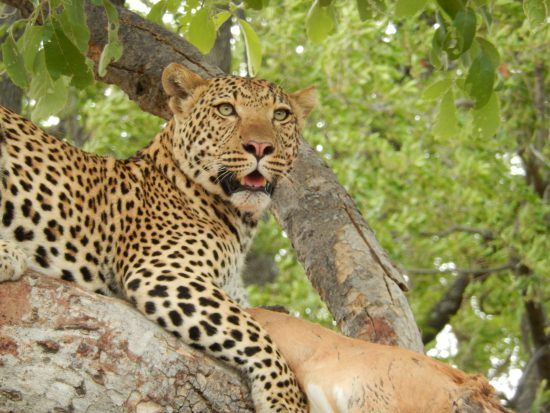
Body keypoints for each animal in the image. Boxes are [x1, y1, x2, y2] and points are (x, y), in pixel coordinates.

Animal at [0, 62, 314, 412]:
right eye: (226, 110)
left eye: (281, 115)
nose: (260, 147)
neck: (239, 223)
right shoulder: (164, 271)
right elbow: (253, 332)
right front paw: (286, 400)